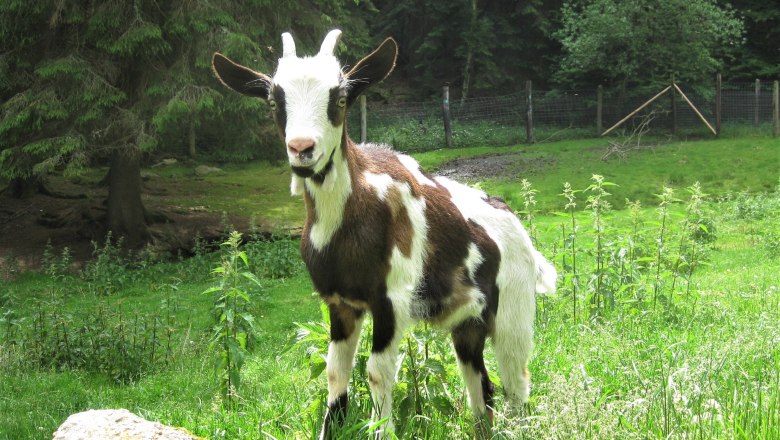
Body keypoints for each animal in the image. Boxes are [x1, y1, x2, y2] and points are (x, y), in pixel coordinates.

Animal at [212, 30, 556, 436]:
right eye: (272, 100)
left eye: (340, 98)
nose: (302, 149)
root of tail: (513, 221)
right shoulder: (340, 302)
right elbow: (335, 372)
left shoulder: (393, 298)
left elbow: (378, 373)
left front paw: (381, 430)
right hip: (467, 323)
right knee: (480, 384)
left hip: (514, 310)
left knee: (516, 380)